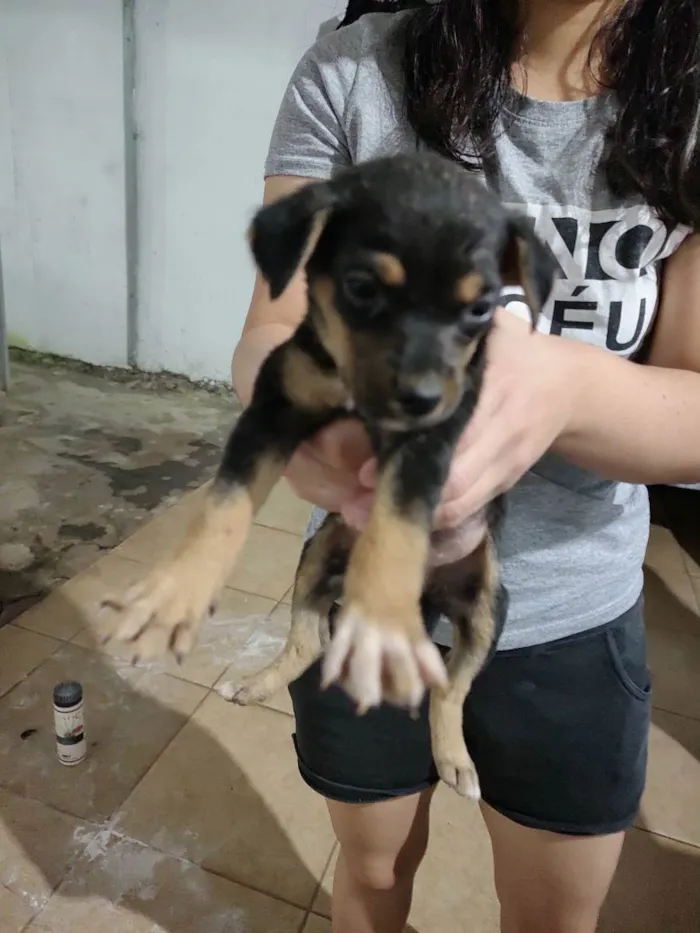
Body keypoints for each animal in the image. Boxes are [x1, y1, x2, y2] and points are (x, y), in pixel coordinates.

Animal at [104, 153, 556, 792]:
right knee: (309, 640)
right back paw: (256, 682)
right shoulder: (275, 405)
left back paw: (455, 760)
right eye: (361, 288)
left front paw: (384, 623)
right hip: (318, 557)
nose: (420, 398)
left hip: (488, 608)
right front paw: (174, 596)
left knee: (452, 689)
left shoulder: (433, 440)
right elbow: (224, 503)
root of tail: (432, 597)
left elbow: (398, 522)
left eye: (480, 308)